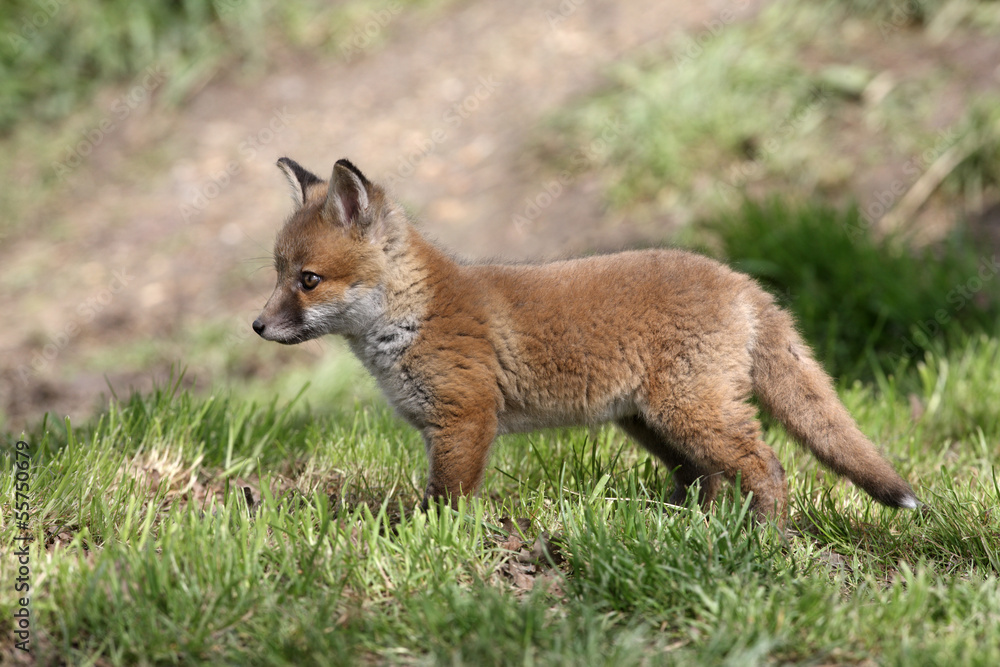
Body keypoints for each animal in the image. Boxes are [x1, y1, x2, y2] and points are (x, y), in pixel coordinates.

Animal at [252, 157, 919, 525]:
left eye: (308, 281)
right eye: (277, 275)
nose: (257, 326)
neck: (412, 318)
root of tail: (739, 279)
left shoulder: (465, 422)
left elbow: (444, 504)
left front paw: (429, 546)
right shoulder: (441, 428)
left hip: (689, 412)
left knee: (768, 465)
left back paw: (767, 545)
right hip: (653, 424)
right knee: (709, 479)